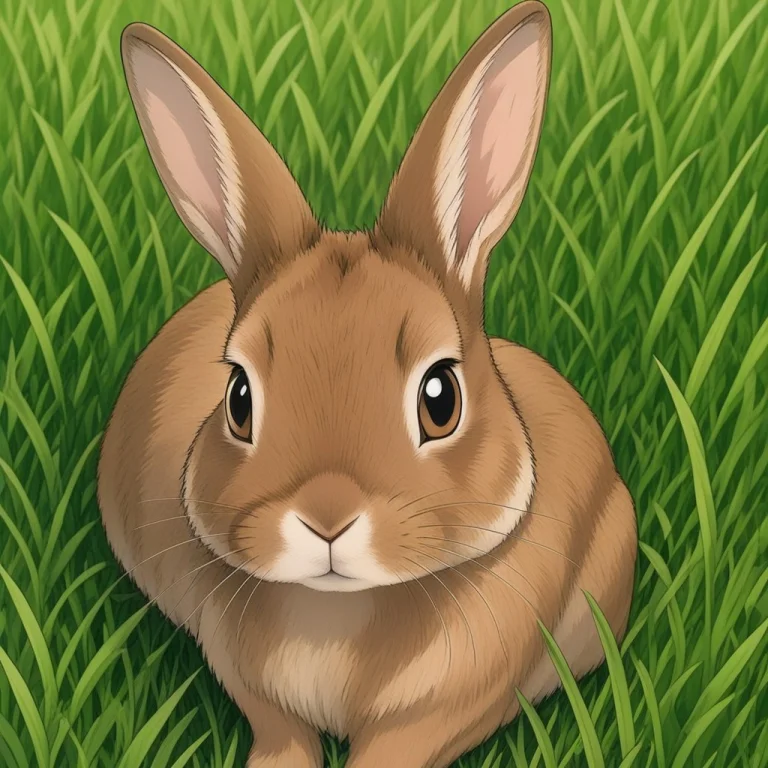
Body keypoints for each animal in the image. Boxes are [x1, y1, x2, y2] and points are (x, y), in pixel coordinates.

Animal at [98, 1, 637, 766]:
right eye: (239, 399)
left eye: (440, 399)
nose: (326, 519)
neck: (339, 612)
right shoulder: (251, 686)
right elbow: (281, 732)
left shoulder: (451, 708)